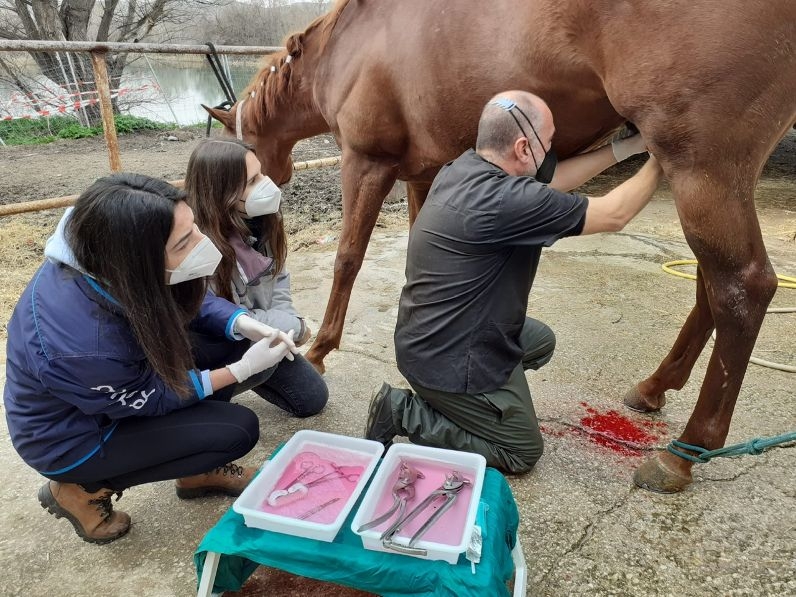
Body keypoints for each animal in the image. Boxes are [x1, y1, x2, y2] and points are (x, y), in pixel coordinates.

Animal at [207, 0, 796, 494]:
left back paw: (683, 453)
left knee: (742, 286)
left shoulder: (366, 162)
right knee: (710, 287)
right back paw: (655, 387)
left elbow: (348, 258)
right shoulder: (425, 173)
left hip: (701, 167)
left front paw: (321, 349)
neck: (347, 47)